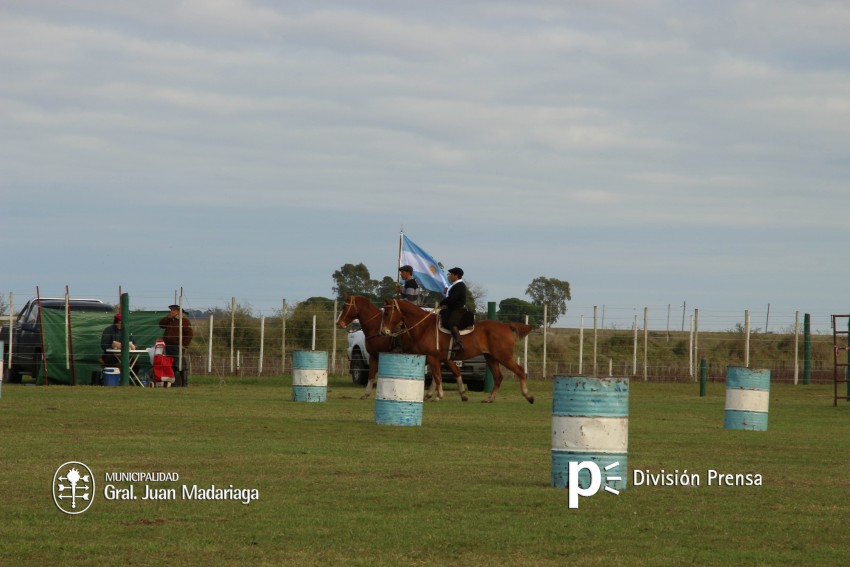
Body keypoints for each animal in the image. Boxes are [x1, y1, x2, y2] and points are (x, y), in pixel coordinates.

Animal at [334, 296, 464, 402]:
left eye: (344, 307)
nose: (338, 323)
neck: (376, 327)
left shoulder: (374, 355)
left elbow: (371, 374)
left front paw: (366, 394)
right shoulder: (374, 356)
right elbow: (371, 375)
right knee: (450, 370)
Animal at [380, 298, 532, 404]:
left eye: (387, 313)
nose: (383, 332)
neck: (424, 327)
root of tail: (506, 326)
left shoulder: (433, 357)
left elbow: (438, 377)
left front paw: (438, 396)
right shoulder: (437, 359)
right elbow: (441, 375)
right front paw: (432, 395)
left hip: (503, 357)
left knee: (519, 371)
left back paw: (528, 396)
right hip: (491, 358)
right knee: (498, 377)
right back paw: (489, 399)